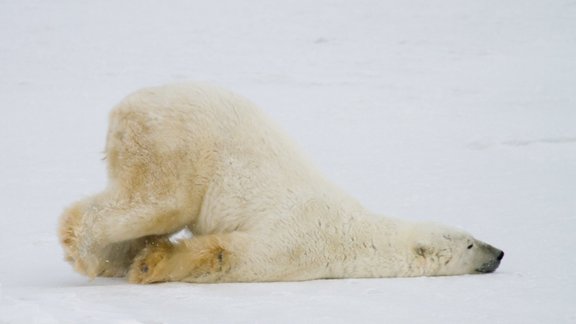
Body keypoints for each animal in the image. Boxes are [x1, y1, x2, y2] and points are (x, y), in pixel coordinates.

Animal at [58, 82, 504, 282]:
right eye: (469, 243)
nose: (499, 252)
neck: (356, 234)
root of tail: (128, 103)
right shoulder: (299, 241)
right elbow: (230, 256)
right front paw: (152, 264)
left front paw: (147, 260)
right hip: (176, 144)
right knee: (158, 201)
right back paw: (87, 248)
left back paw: (112, 258)